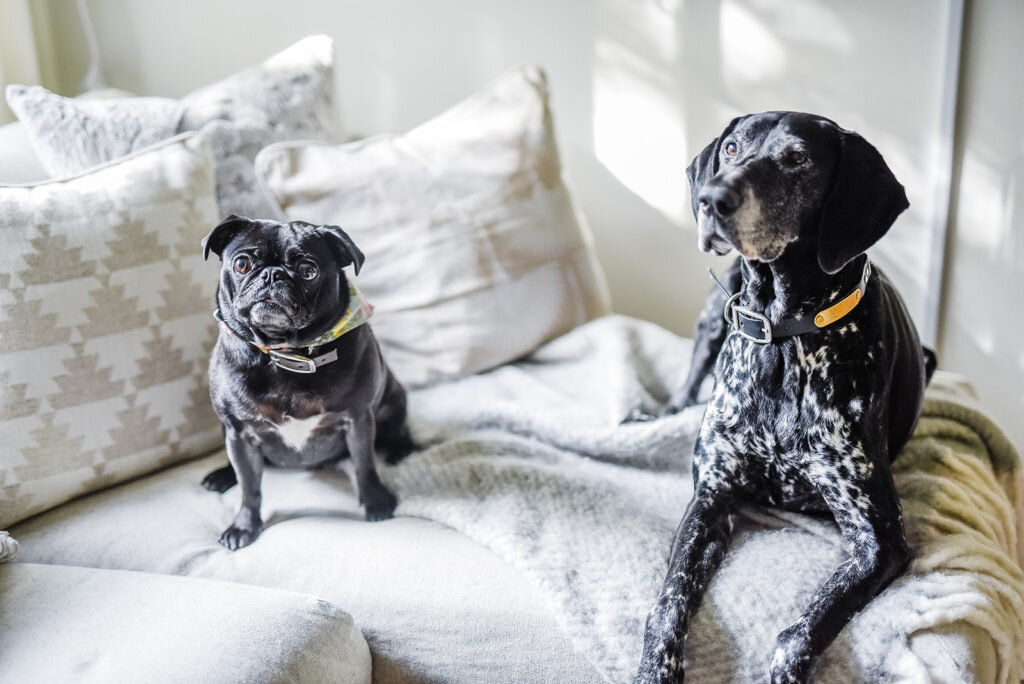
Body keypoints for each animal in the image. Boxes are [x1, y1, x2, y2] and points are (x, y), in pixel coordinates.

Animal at [638, 113, 937, 684]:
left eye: (797, 158)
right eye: (732, 148)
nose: (711, 199)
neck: (785, 334)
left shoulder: (879, 540)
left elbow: (799, 633)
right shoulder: (711, 497)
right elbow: (668, 602)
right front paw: (654, 669)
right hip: (714, 314)